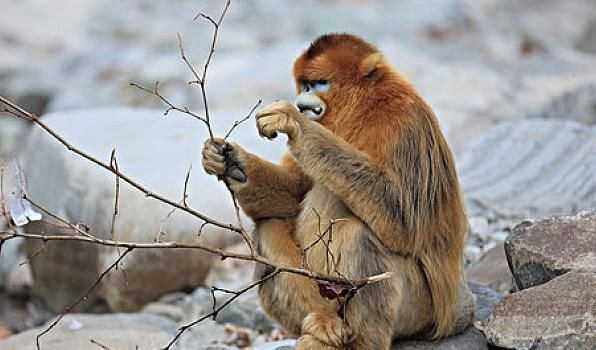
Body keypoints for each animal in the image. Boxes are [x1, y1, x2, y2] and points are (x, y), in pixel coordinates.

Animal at [203, 33, 478, 350]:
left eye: (320, 83)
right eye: (305, 85)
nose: (302, 103)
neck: (365, 108)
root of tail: (446, 315)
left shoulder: (405, 123)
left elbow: (404, 221)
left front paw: (294, 123)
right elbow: (293, 195)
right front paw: (231, 161)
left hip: (419, 308)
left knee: (356, 231)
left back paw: (359, 342)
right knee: (270, 226)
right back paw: (324, 323)